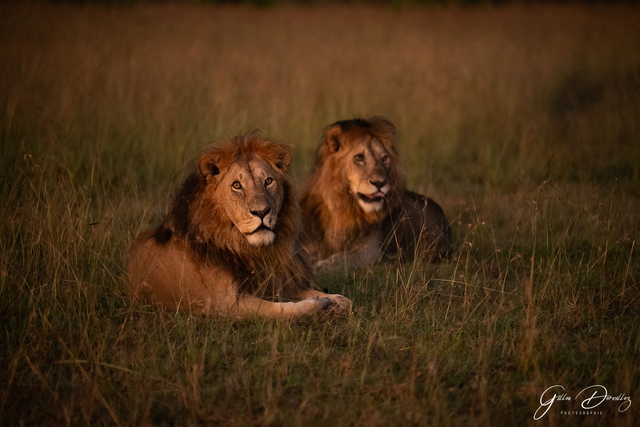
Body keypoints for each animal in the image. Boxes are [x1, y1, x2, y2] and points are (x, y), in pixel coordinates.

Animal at [127, 134, 351, 319]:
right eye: (237, 185)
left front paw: (337, 299)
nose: (262, 212)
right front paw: (318, 304)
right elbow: (281, 309)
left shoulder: (273, 281)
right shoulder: (227, 303)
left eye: (268, 181)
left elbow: (309, 292)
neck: (248, 248)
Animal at [300, 117, 451, 273]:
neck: (342, 206)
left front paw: (321, 266)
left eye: (384, 158)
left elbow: (344, 258)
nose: (380, 182)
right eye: (359, 158)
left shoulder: (372, 250)